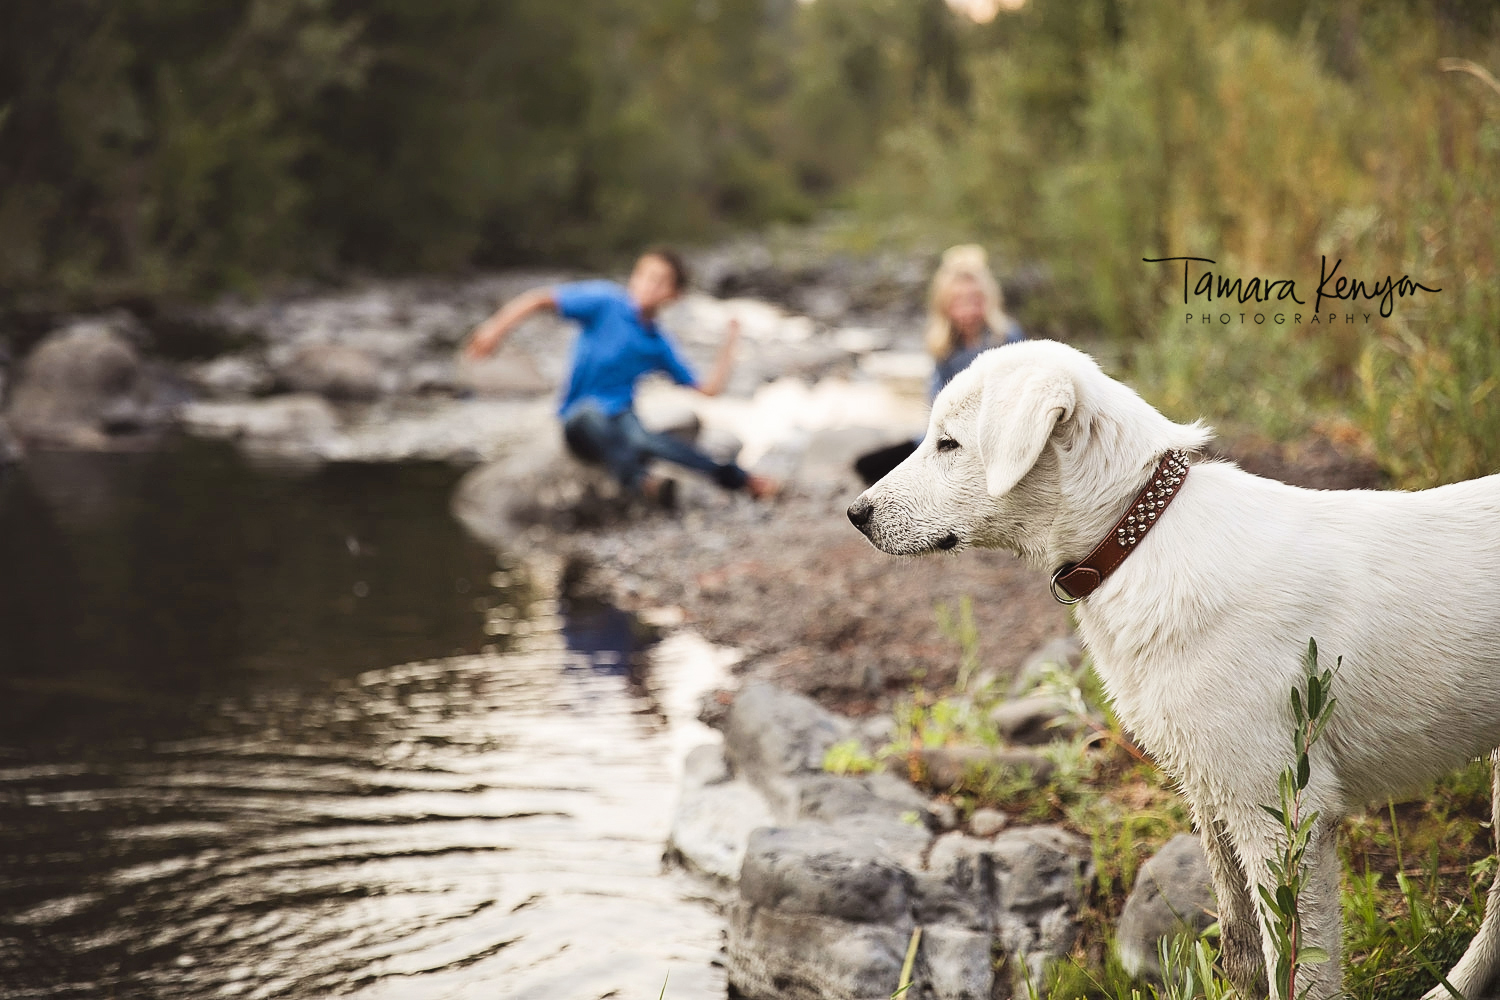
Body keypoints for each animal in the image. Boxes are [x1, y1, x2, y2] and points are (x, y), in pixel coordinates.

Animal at [846, 340, 1500, 995]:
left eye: (948, 443)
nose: (855, 514)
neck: (1136, 538)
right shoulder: (1213, 796)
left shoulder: (1285, 812)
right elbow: (1241, 948)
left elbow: (1295, 968)